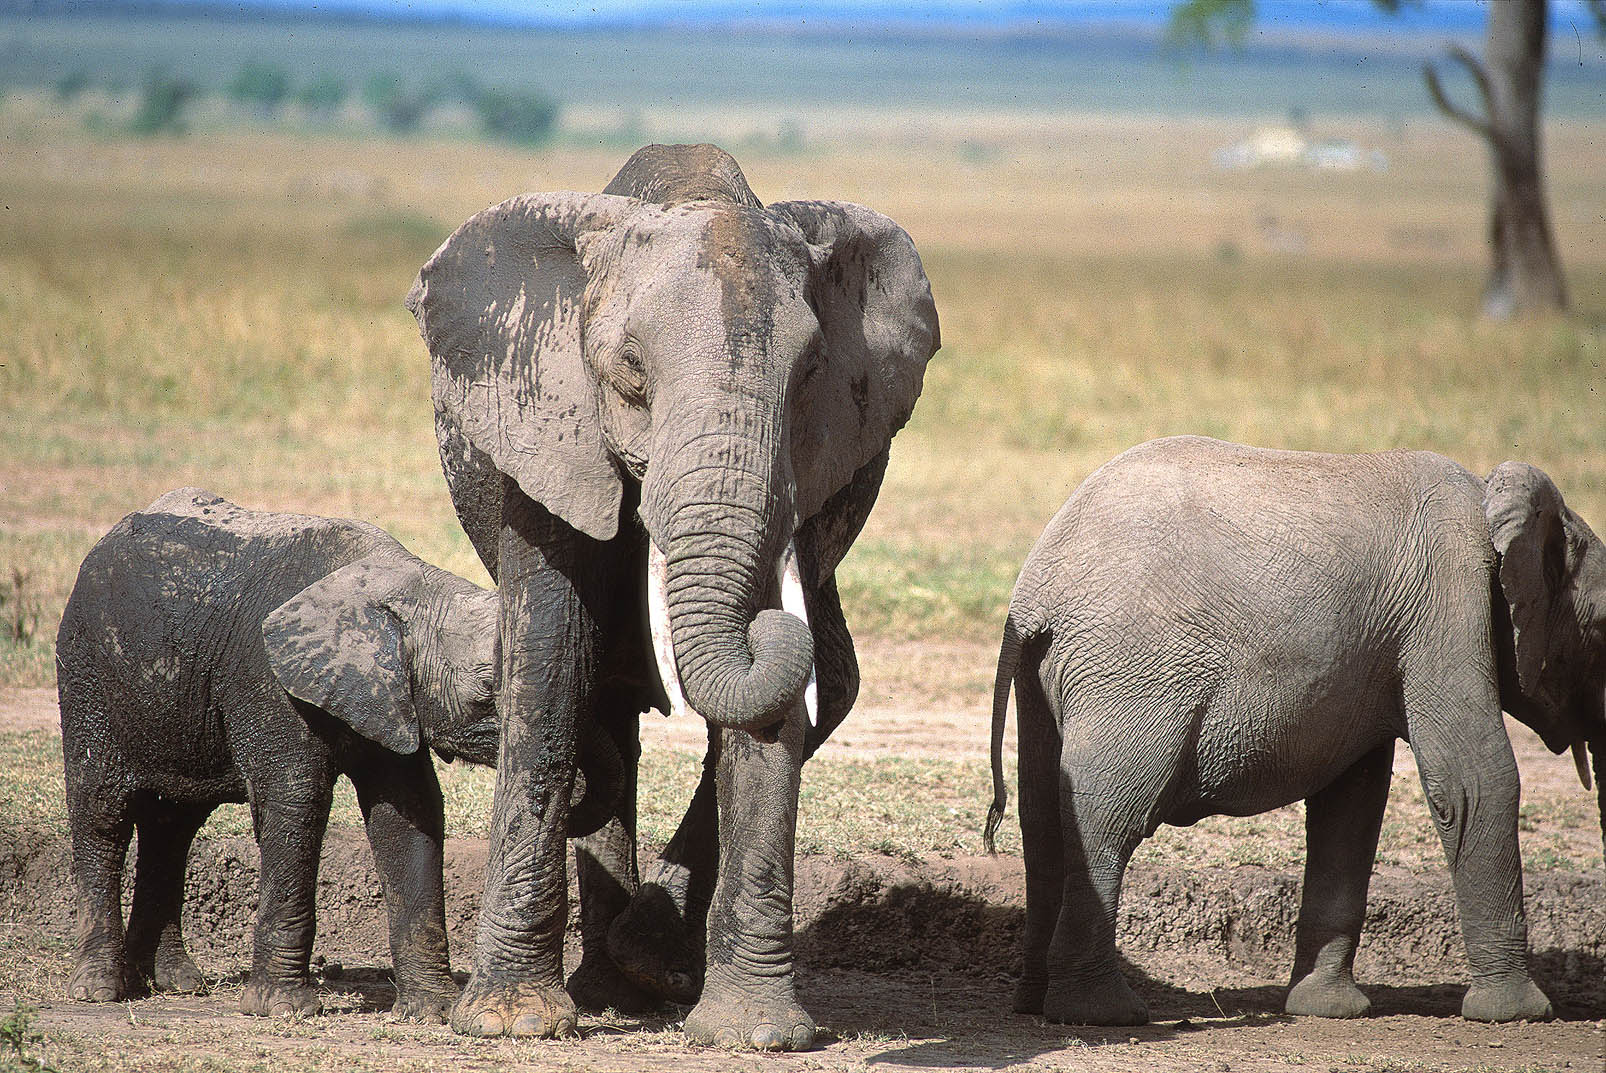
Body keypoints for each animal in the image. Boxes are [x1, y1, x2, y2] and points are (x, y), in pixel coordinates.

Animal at [56, 488, 552, 1021]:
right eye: (488, 686)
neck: (401, 586)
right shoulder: (269, 682)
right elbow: (295, 801)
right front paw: (282, 1008)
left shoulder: (391, 696)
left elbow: (409, 815)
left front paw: (432, 1012)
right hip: (87, 670)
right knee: (102, 811)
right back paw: (99, 988)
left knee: (174, 824)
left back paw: (175, 982)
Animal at [406, 143, 939, 1049]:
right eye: (629, 370)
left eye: (810, 374)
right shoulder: (548, 426)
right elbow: (550, 660)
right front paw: (515, 1020)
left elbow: (771, 719)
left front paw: (757, 1033)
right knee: (600, 702)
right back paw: (608, 988)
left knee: (820, 691)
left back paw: (641, 969)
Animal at [985, 436, 1605, 1027]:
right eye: (1601, 629)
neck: (1492, 494)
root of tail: (1036, 591)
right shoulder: (1447, 602)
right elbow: (1473, 779)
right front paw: (1520, 1015)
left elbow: (1352, 805)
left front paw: (1328, 1010)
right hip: (1134, 668)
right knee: (1110, 820)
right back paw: (1102, 1014)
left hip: (1050, 676)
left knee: (1044, 820)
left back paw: (1035, 1004)